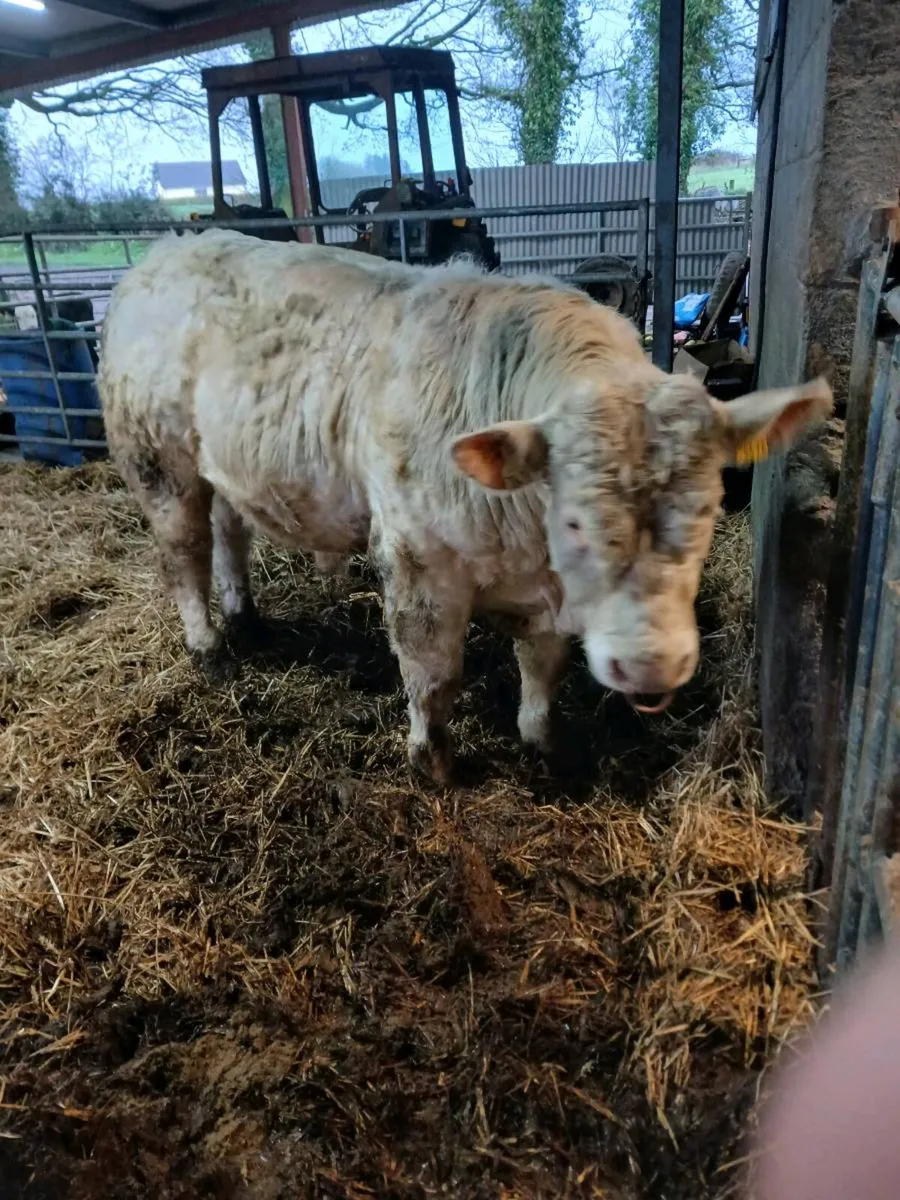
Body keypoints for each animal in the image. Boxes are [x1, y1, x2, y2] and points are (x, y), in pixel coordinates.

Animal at [99, 229, 832, 782]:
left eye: (708, 511)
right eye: (576, 522)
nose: (651, 667)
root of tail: (167, 250)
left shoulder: (545, 593)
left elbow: (543, 667)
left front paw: (544, 743)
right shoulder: (418, 562)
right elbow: (431, 674)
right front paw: (434, 762)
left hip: (220, 465)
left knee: (230, 534)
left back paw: (244, 615)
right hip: (156, 460)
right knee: (185, 553)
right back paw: (208, 645)